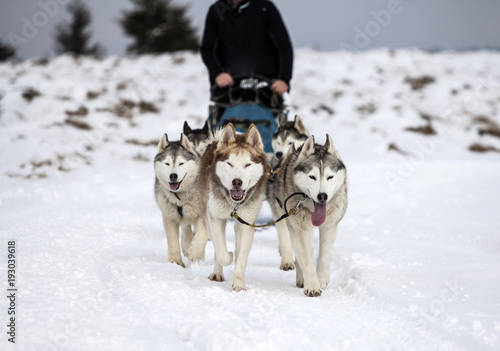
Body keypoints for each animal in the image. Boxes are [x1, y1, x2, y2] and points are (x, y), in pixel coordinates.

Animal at [152, 133, 207, 268]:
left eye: (181, 163)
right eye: (167, 163)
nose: (173, 176)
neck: (181, 198)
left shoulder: (202, 215)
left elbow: (201, 236)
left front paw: (194, 253)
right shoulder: (169, 217)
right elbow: (173, 241)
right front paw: (175, 262)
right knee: (186, 227)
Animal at [199, 123, 270, 292]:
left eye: (247, 164)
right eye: (230, 163)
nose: (237, 182)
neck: (234, 205)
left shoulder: (247, 224)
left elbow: (241, 258)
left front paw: (239, 285)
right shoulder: (215, 218)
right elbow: (222, 254)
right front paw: (229, 256)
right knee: (218, 249)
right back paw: (217, 273)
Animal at [274, 135, 348, 296]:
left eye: (330, 177)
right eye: (312, 177)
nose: (322, 196)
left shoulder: (329, 227)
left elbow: (324, 255)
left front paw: (322, 280)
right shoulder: (299, 229)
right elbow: (306, 260)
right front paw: (313, 286)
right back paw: (302, 278)